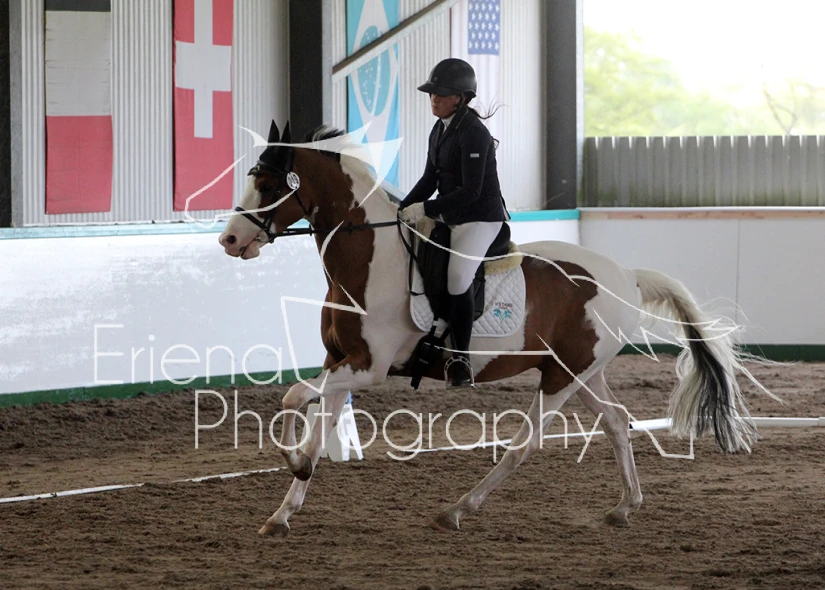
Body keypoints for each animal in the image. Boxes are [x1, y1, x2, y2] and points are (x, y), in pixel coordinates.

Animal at [219, 121, 764, 537]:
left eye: (269, 186)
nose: (229, 240)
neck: (368, 259)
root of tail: (624, 275)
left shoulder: (368, 367)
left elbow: (292, 396)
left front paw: (294, 465)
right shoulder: (340, 362)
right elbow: (316, 423)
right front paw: (284, 509)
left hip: (563, 376)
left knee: (527, 443)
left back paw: (457, 509)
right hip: (583, 371)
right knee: (616, 419)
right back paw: (624, 506)